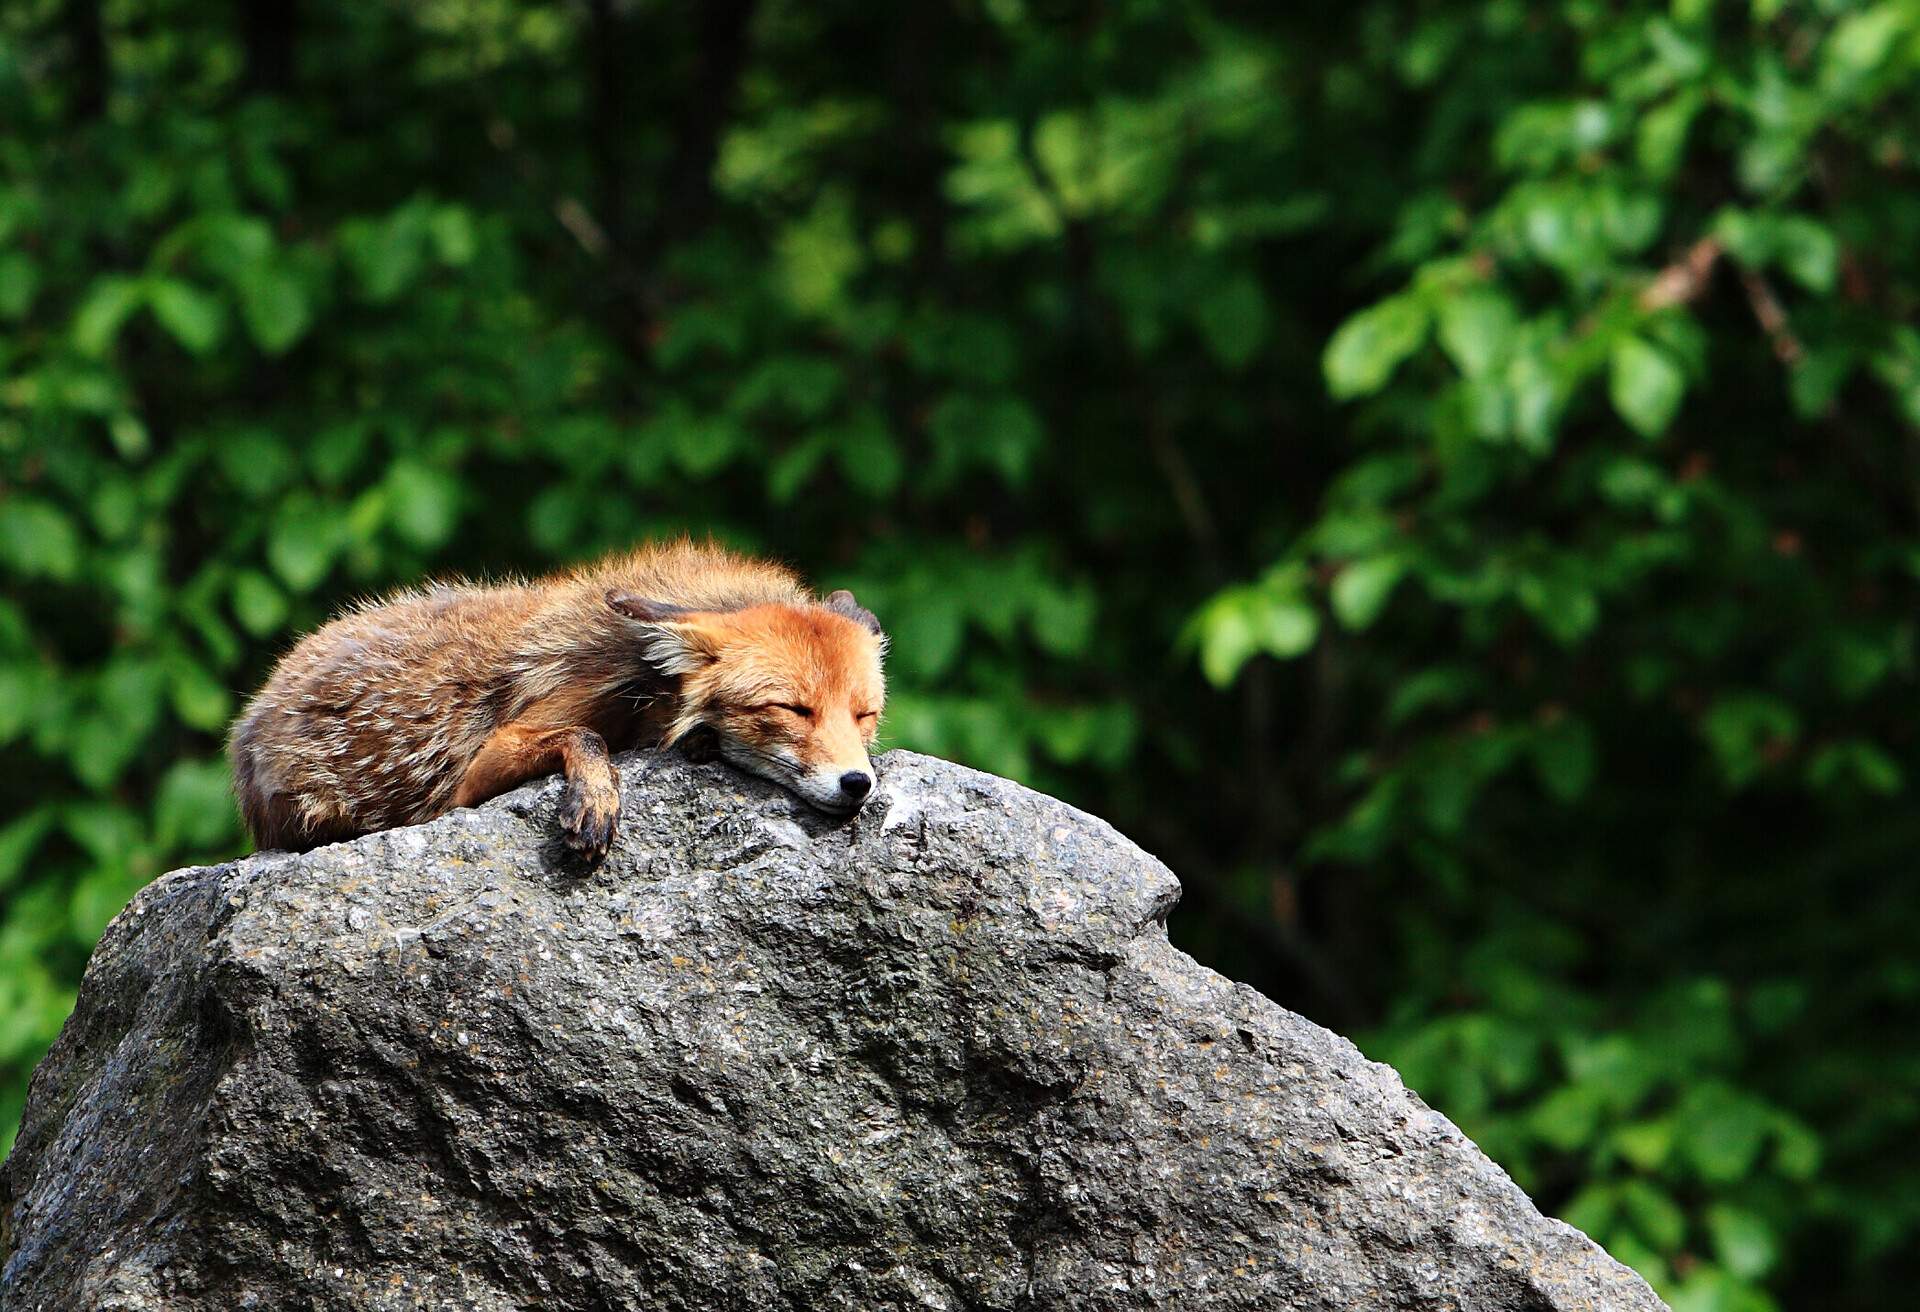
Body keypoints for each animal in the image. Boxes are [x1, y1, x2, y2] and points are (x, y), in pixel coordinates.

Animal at [230, 537, 883, 868]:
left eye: (864, 716)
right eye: (792, 710)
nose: (858, 783)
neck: (644, 682)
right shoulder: (470, 780)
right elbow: (584, 738)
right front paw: (594, 800)